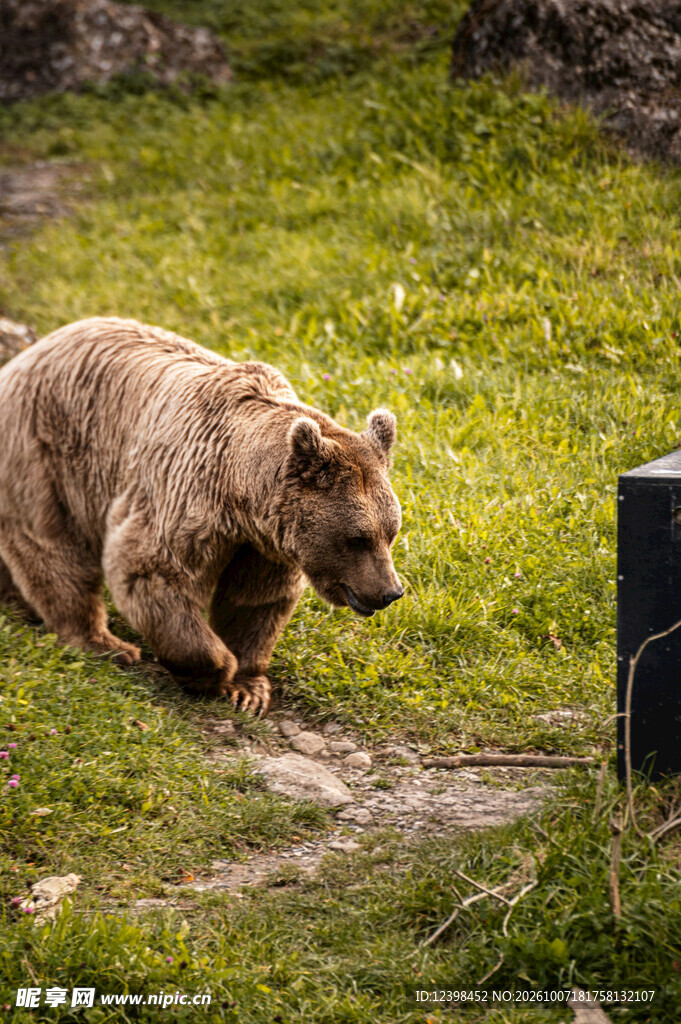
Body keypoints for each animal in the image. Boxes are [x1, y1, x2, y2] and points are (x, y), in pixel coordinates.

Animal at [0, 317, 403, 715]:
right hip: (48, 456)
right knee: (54, 552)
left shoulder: (265, 542)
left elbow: (253, 600)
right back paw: (105, 643)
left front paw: (249, 687)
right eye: (357, 537)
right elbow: (154, 571)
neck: (239, 492)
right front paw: (216, 671)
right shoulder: (188, 496)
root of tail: (21, 360)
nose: (390, 592)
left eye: (391, 532)